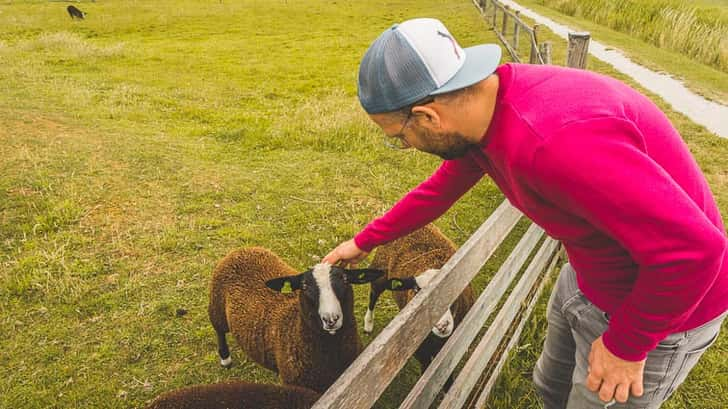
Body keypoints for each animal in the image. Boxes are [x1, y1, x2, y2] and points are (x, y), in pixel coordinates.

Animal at [208, 245, 384, 392]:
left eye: (345, 280)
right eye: (304, 286)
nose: (331, 319)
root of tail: (242, 250)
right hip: (217, 306)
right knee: (219, 331)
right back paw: (225, 360)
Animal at [366, 223, 474, 386]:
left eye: (451, 286)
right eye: (417, 290)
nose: (441, 326)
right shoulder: (421, 352)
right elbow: (427, 370)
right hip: (381, 271)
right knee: (373, 294)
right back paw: (368, 323)